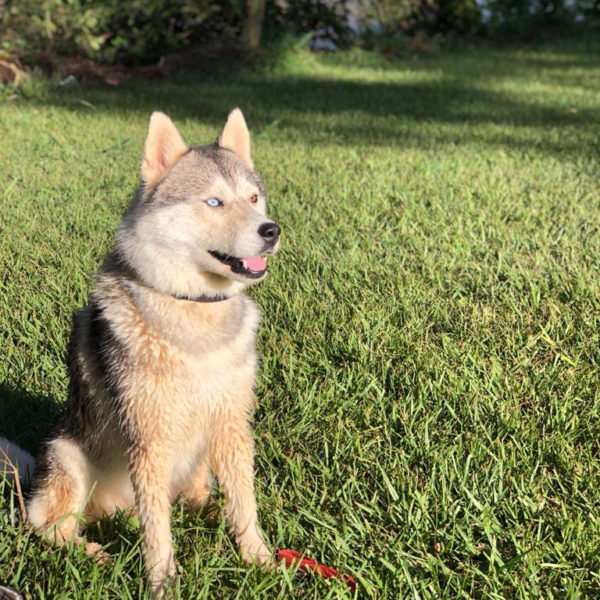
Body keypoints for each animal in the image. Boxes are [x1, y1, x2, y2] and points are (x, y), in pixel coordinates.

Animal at [3, 109, 280, 596]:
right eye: (214, 202)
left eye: (253, 198)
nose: (272, 231)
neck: (193, 311)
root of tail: (114, 510)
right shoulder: (148, 438)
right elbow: (158, 533)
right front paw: (162, 582)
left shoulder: (232, 424)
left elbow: (244, 506)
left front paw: (259, 560)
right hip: (68, 460)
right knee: (50, 526)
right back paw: (93, 553)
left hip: (197, 458)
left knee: (194, 498)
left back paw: (208, 514)